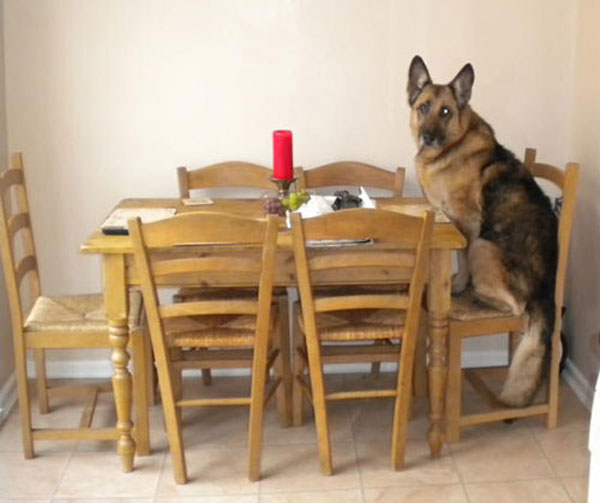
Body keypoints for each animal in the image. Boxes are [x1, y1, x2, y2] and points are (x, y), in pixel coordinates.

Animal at [408, 56, 556, 410]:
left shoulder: (467, 225)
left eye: (445, 111)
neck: (454, 145)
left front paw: (460, 285)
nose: (428, 137)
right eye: (424, 107)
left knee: (517, 308)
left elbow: (460, 259)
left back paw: (479, 295)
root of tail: (545, 289)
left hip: (484, 247)